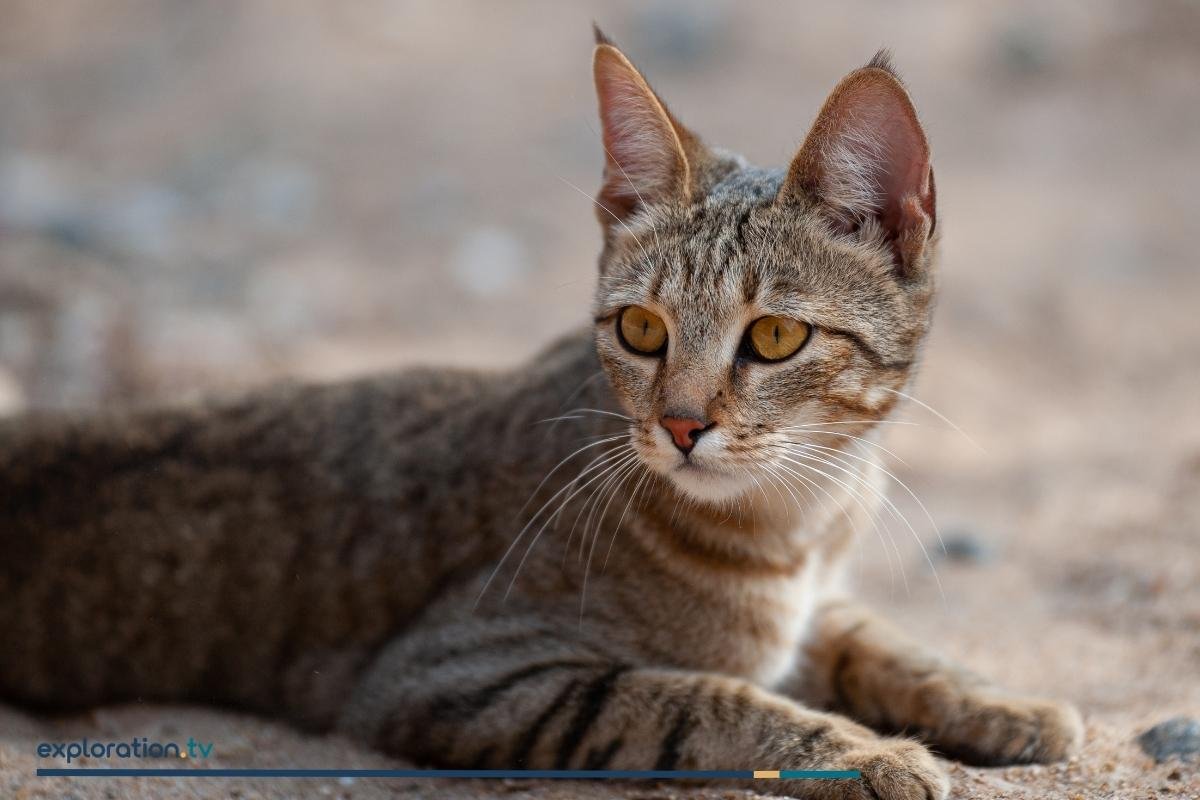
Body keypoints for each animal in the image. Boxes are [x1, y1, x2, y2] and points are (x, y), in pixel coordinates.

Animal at [0, 28, 1084, 796]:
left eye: (775, 337)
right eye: (642, 328)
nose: (682, 426)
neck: (794, 522)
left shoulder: (820, 597)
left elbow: (879, 639)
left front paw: (1001, 702)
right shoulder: (457, 672)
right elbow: (696, 696)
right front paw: (867, 753)